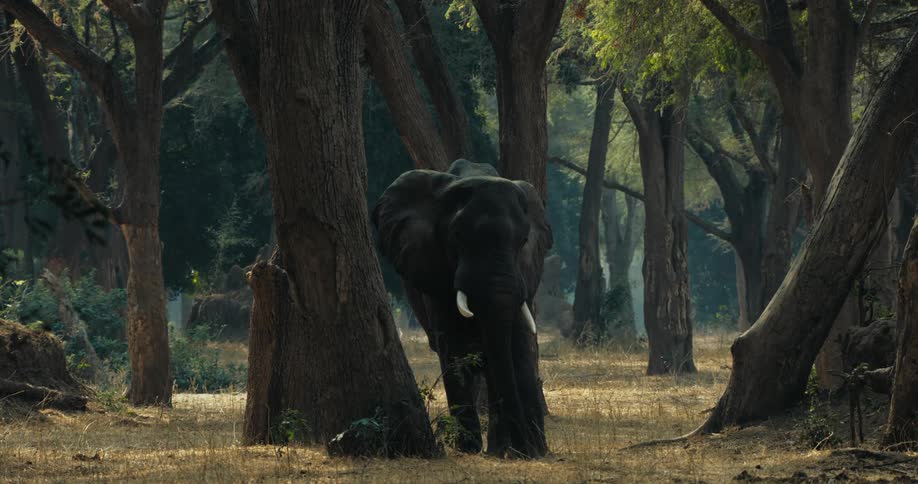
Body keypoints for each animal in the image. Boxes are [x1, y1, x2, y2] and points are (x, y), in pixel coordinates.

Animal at [372, 159, 553, 458]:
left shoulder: (524, 276)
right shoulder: (435, 274)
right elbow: (453, 349)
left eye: (524, 240)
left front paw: (518, 451)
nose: (523, 450)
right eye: (457, 236)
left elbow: (513, 346)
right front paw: (469, 449)